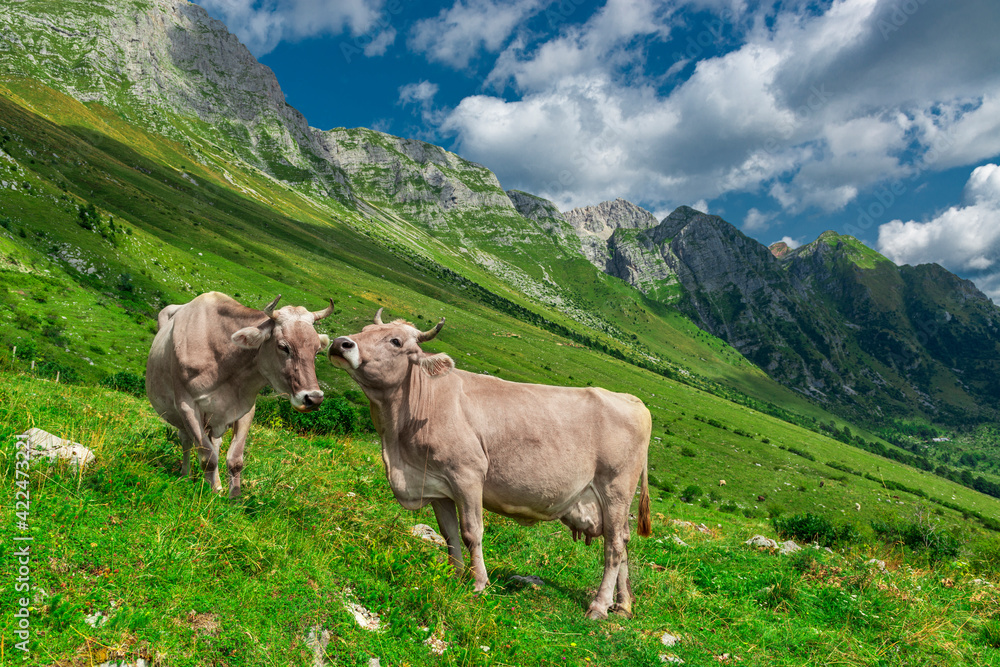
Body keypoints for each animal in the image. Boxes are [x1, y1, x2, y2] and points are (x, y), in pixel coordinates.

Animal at [146, 290, 332, 498]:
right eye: (284, 347)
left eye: (316, 350)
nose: (314, 398)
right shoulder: (187, 406)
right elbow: (208, 458)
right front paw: (207, 493)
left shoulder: (245, 408)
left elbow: (235, 459)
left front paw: (234, 498)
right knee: (187, 441)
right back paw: (185, 475)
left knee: (215, 444)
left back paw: (217, 485)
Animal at [328, 310, 652, 620]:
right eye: (365, 330)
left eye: (396, 341)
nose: (340, 343)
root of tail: (631, 399)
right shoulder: (436, 485)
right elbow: (449, 534)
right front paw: (455, 576)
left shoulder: (467, 475)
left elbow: (472, 531)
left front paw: (478, 583)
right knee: (623, 542)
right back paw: (623, 605)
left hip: (615, 490)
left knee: (614, 546)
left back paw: (599, 606)